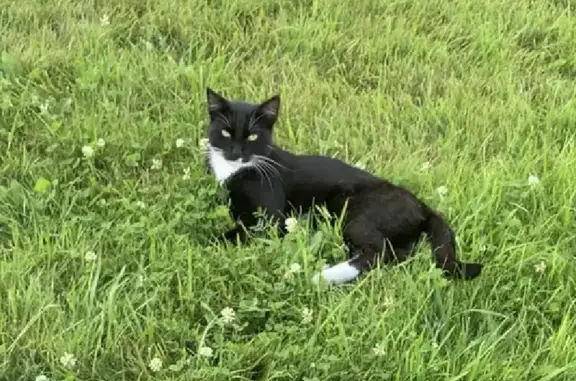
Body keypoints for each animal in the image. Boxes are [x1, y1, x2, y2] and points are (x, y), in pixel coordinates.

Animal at [202, 87, 482, 284]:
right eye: (226, 132)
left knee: (377, 251)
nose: (236, 152)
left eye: (252, 136)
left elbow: (236, 232)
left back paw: (325, 276)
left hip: (354, 212)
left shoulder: (268, 218)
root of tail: (422, 206)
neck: (237, 169)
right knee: (396, 255)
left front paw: (202, 242)